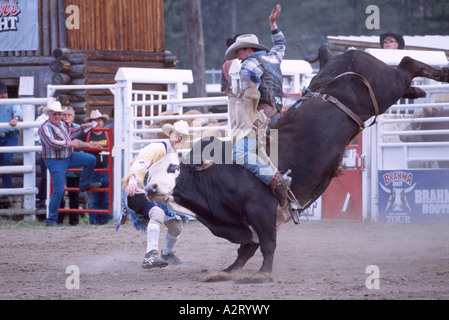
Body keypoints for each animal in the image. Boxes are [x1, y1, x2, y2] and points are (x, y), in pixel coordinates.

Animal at [144, 46, 448, 282]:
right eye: (149, 171)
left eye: (173, 168)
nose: (149, 189)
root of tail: (345, 55)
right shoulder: (246, 222)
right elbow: (246, 248)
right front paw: (227, 271)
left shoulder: (261, 208)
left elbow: (266, 243)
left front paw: (263, 274)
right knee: (406, 74)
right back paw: (420, 90)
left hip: (386, 85)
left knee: (406, 63)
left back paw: (440, 74)